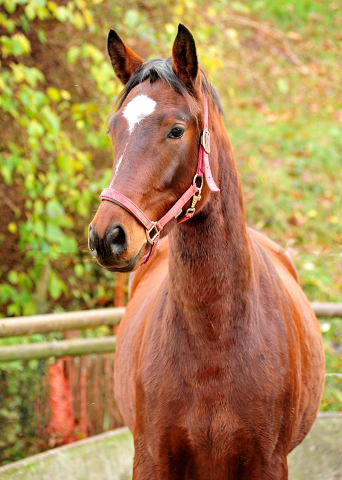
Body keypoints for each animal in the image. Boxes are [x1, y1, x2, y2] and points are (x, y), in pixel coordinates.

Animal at [88, 23, 324, 480]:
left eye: (176, 130)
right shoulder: (151, 460)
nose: (107, 237)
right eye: (113, 129)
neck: (214, 339)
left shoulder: (268, 462)